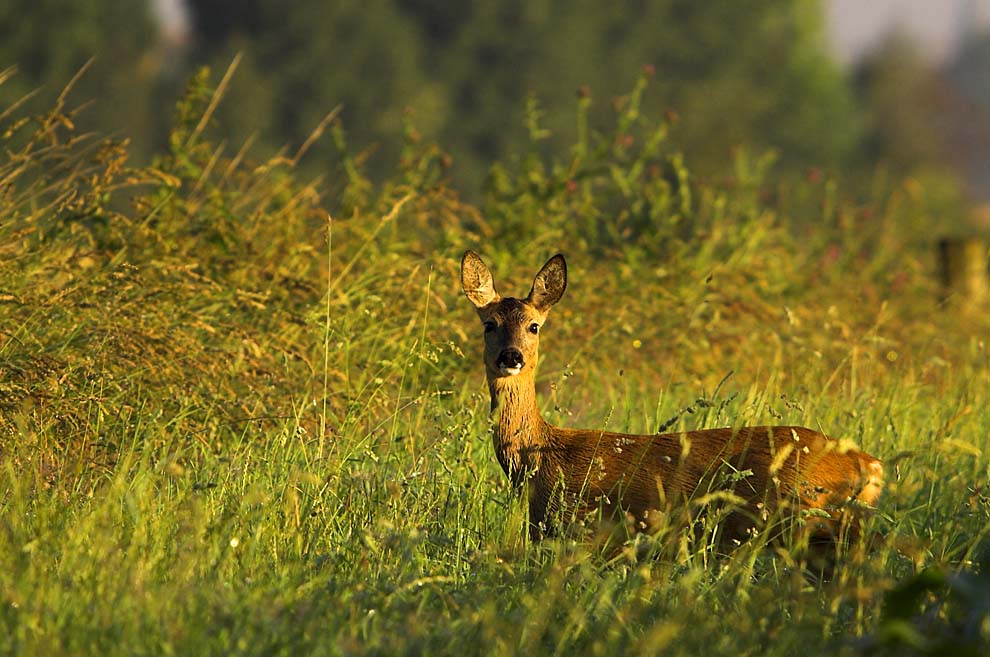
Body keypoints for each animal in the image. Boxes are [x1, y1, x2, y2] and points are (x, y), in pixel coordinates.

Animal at [462, 251, 888, 552]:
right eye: (489, 324)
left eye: (534, 325)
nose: (511, 356)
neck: (541, 457)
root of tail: (869, 463)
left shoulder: (583, 526)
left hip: (803, 518)